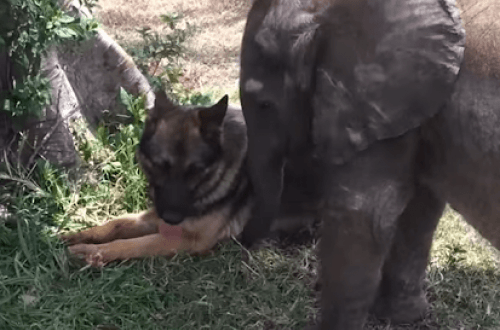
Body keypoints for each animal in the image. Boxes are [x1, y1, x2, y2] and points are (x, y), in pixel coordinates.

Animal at [60, 91, 314, 266]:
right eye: (161, 166)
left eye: (195, 170)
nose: (172, 218)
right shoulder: (161, 214)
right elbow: (117, 223)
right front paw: (80, 235)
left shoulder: (186, 239)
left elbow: (131, 244)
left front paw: (92, 252)